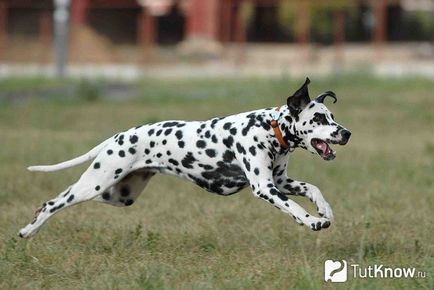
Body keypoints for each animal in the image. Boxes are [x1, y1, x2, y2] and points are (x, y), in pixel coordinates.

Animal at [18, 77, 352, 238]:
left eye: (333, 116)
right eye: (319, 118)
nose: (346, 133)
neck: (269, 128)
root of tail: (118, 136)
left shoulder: (280, 181)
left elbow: (312, 188)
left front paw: (324, 209)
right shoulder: (265, 188)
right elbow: (294, 208)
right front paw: (313, 221)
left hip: (119, 195)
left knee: (59, 199)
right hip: (95, 183)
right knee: (54, 202)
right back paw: (28, 230)